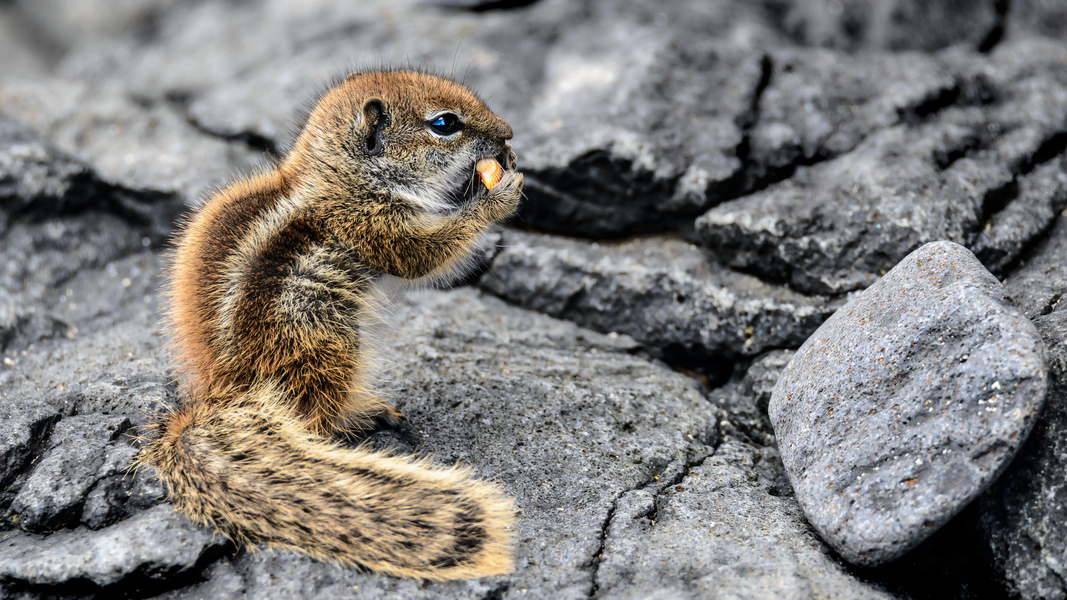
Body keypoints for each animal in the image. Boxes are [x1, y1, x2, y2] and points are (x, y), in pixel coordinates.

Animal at [141, 69, 524, 580]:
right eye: (444, 123)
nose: (508, 134)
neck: (341, 178)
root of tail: (226, 395)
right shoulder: (374, 225)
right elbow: (426, 255)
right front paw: (498, 195)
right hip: (324, 344)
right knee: (315, 417)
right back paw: (358, 415)